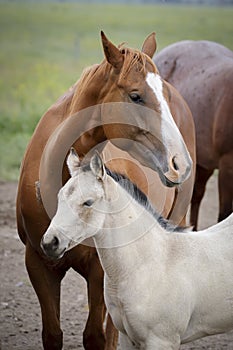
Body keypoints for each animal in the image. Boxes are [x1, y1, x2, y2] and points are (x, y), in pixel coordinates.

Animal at [16, 31, 195, 348]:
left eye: (164, 96)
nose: (180, 163)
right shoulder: (37, 262)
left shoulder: (101, 270)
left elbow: (97, 337)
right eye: (135, 96)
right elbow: (52, 334)